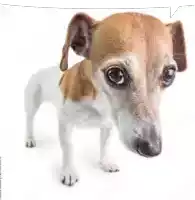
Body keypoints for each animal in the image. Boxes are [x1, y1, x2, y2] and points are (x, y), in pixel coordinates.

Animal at [24, 12, 187, 186]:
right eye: (116, 74)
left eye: (169, 74)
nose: (152, 148)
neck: (100, 101)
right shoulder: (65, 123)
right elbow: (68, 148)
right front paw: (68, 172)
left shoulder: (107, 126)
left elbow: (105, 145)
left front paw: (105, 163)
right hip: (32, 103)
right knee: (29, 120)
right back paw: (29, 139)